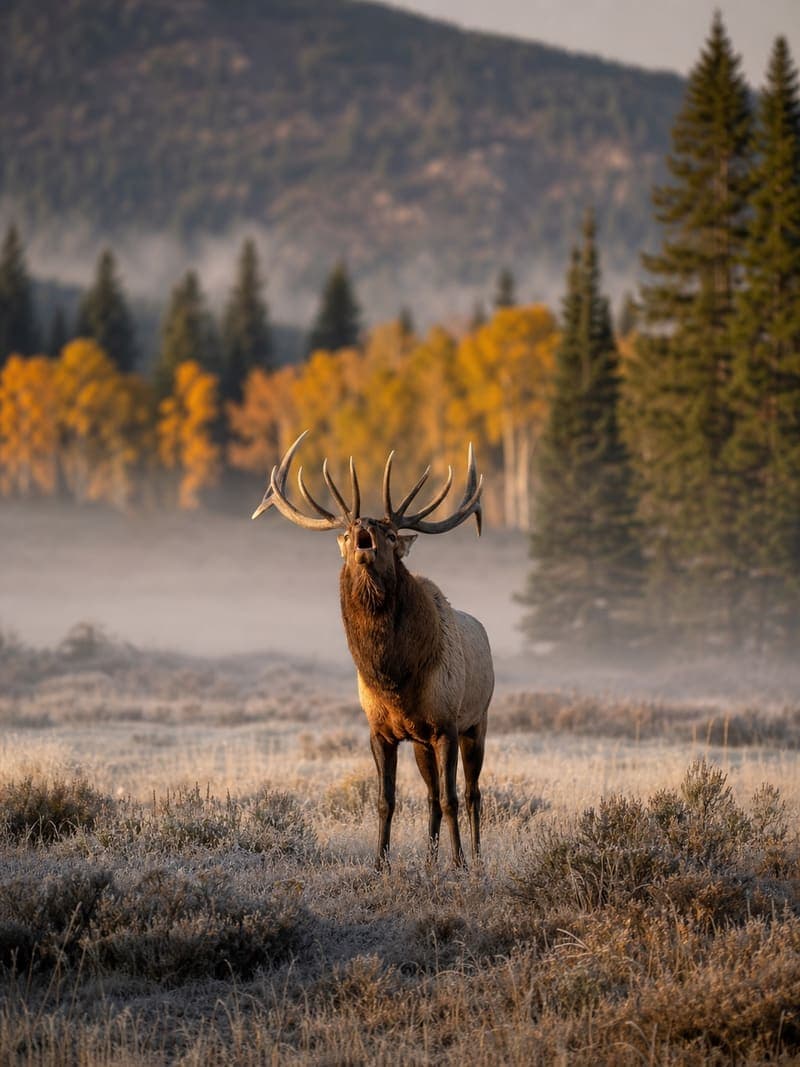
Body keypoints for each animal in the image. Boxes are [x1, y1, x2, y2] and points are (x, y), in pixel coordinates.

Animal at [252, 431, 494, 868]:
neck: (396, 679)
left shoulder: (446, 724)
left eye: (392, 534)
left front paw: (459, 864)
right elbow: (386, 801)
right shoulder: (380, 730)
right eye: (348, 533)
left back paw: (476, 859)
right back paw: (429, 862)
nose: (364, 525)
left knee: (470, 794)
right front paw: (380, 864)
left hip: (477, 721)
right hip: (421, 743)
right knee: (431, 795)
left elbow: (451, 799)